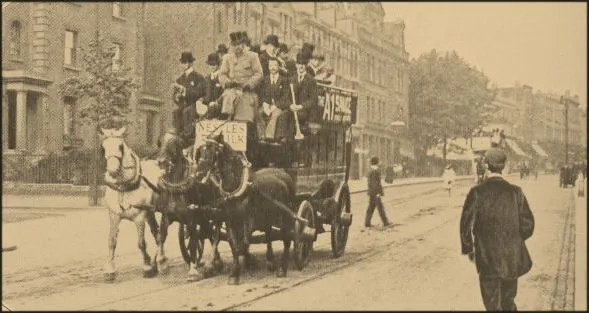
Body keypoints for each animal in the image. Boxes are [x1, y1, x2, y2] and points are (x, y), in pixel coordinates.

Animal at [100, 127, 165, 280]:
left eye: (120, 146)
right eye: (103, 147)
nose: (112, 170)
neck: (124, 186)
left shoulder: (139, 217)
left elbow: (141, 243)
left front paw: (146, 266)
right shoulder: (114, 215)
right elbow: (112, 241)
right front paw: (110, 270)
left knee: (161, 234)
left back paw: (160, 260)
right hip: (150, 213)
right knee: (157, 233)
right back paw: (156, 262)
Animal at [154, 130, 223, 280]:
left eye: (175, 143)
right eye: (160, 142)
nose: (161, 162)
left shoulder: (191, 218)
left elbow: (192, 243)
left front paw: (193, 270)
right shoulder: (166, 216)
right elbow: (161, 237)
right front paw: (162, 263)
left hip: (216, 212)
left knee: (215, 235)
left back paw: (211, 263)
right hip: (204, 216)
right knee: (207, 232)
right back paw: (216, 261)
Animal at [195, 133, 300, 284]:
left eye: (212, 149)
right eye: (200, 151)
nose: (198, 174)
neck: (236, 186)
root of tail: (285, 174)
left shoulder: (248, 221)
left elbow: (243, 244)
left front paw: (246, 264)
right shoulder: (230, 220)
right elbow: (234, 245)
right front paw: (234, 274)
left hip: (285, 216)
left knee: (286, 238)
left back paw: (281, 268)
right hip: (268, 217)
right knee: (269, 235)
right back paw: (271, 262)